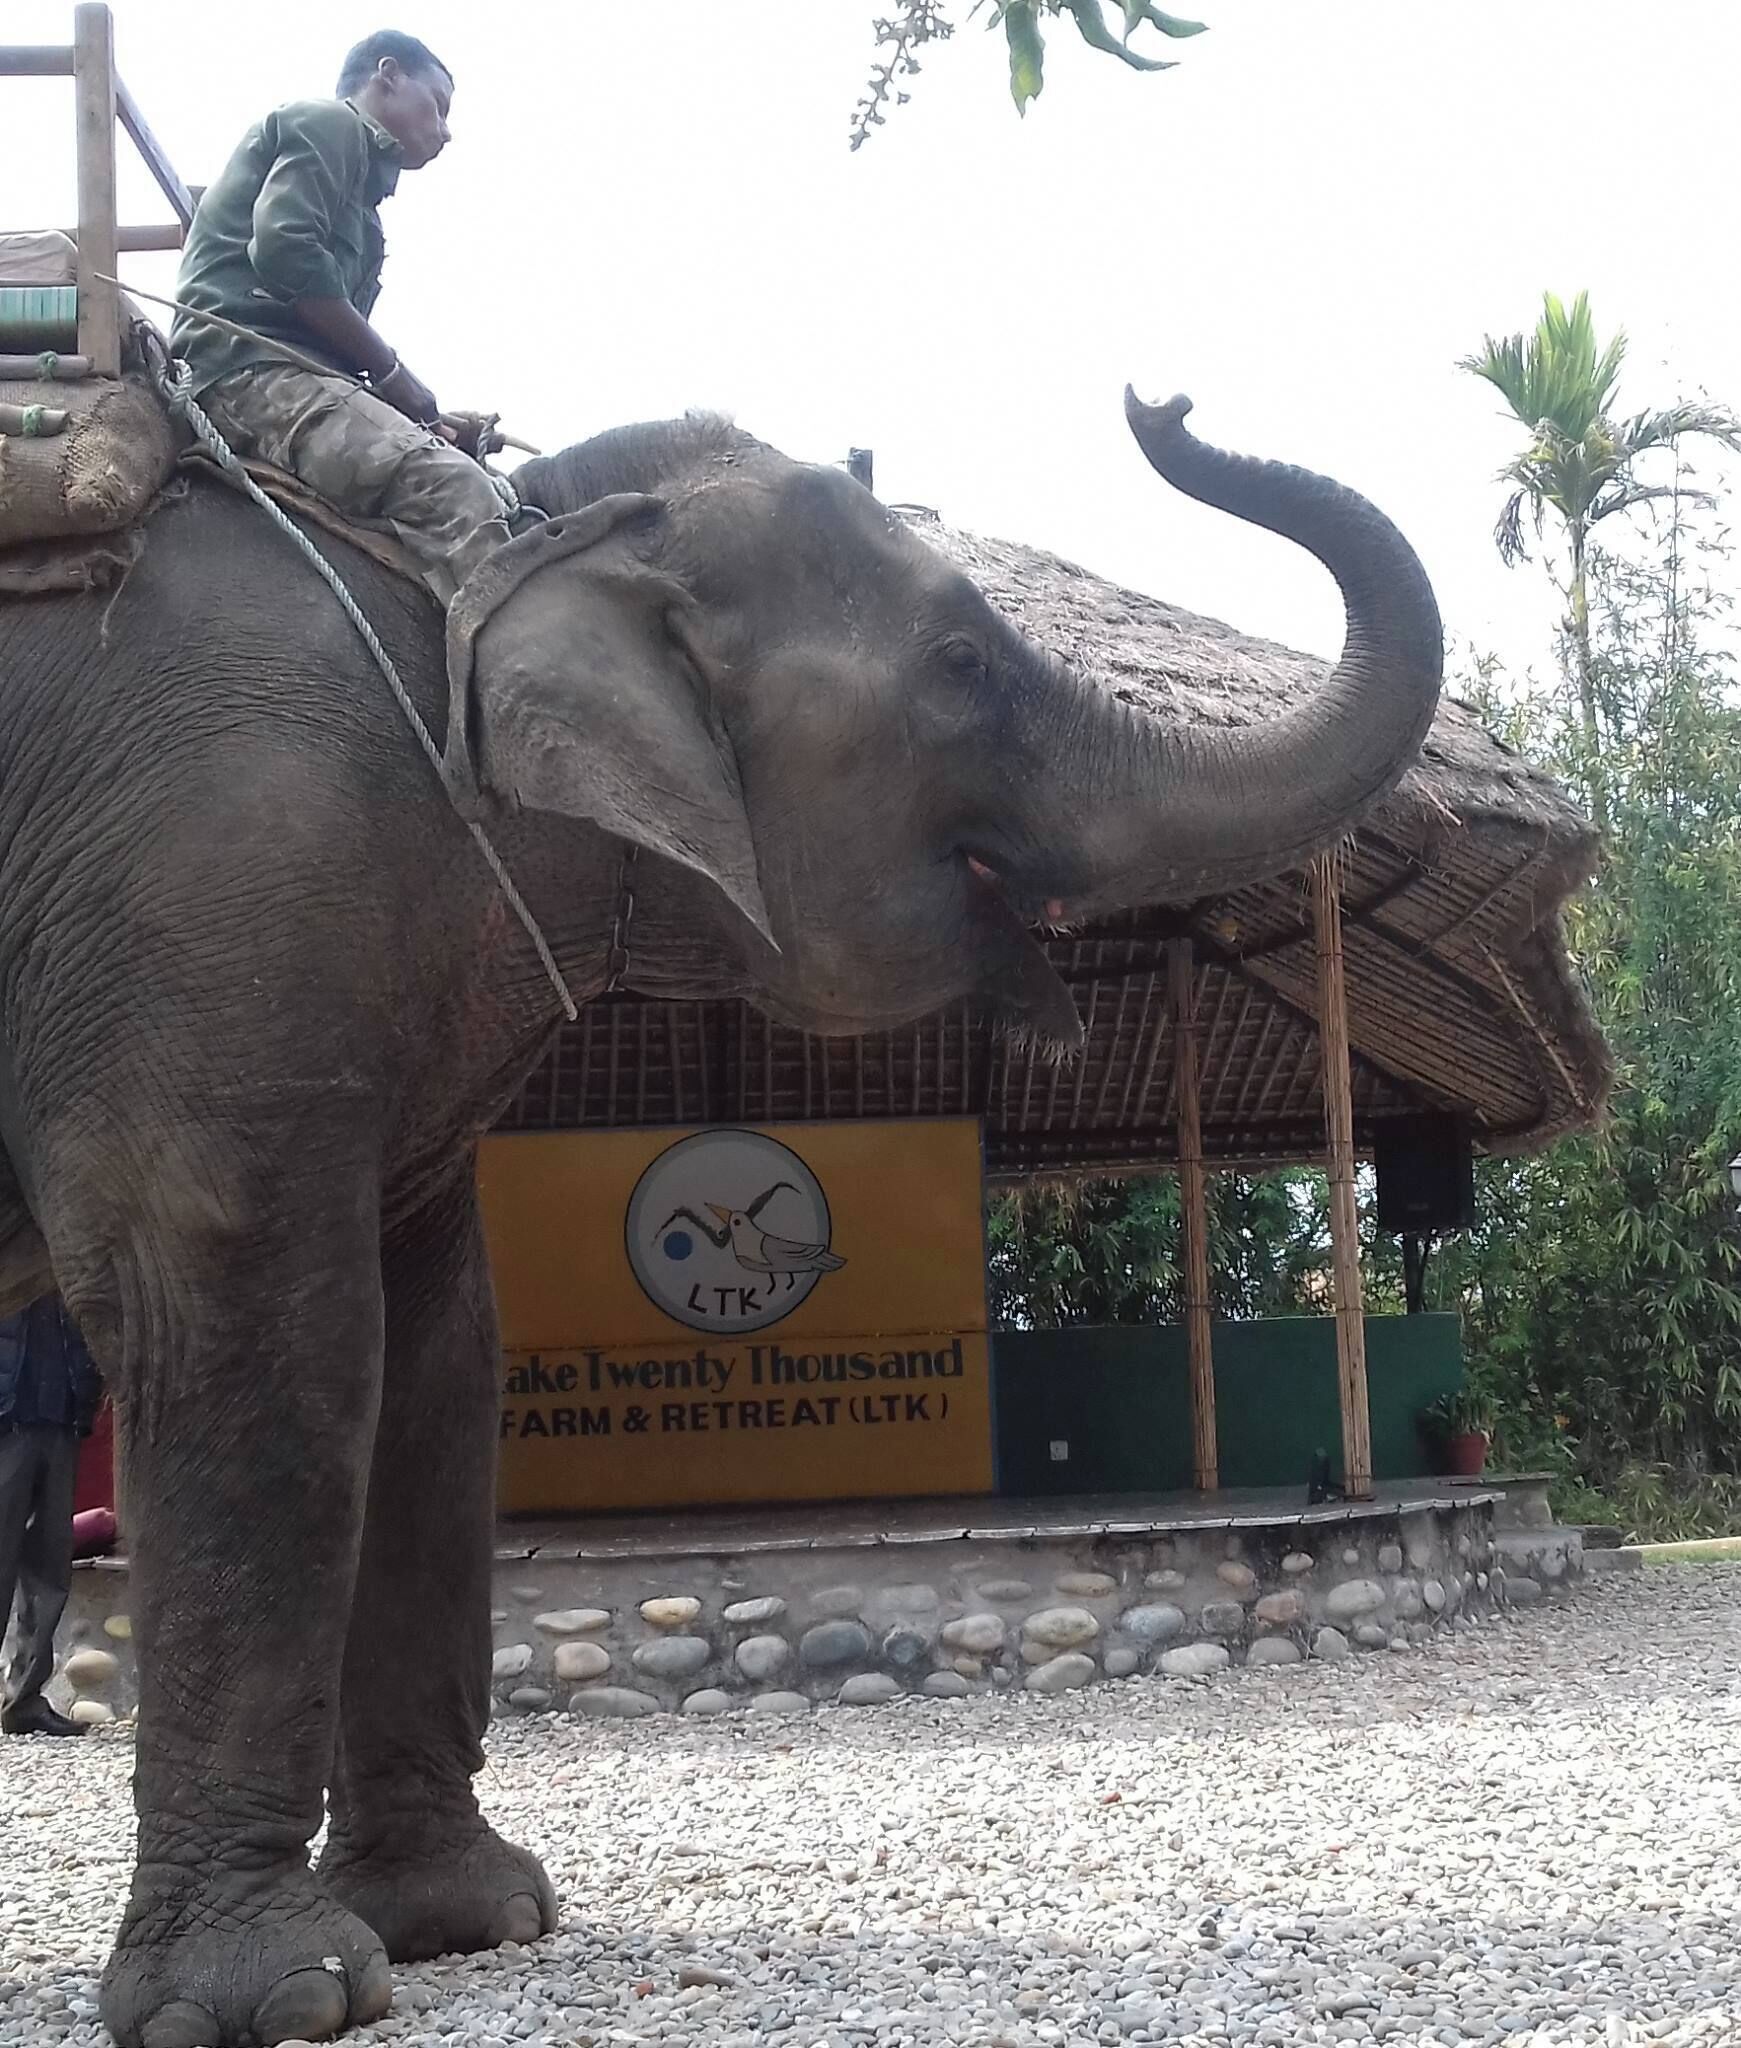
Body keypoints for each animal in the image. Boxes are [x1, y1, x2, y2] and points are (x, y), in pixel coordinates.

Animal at [0, 386, 1440, 2047]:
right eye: (962, 665)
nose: (1163, 402)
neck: (512, 544)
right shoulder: (213, 884)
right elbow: (251, 1322)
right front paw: (277, 2000)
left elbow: (434, 1357)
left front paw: (471, 1924)